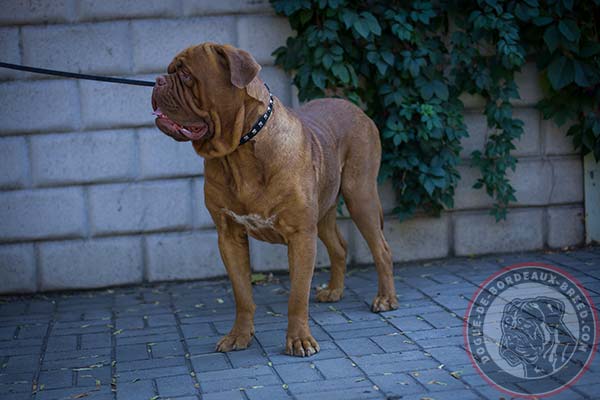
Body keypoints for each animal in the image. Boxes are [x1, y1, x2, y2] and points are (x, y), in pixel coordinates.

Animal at [151, 43, 398, 356]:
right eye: (170, 71)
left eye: (185, 75)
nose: (158, 80)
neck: (239, 152)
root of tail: (356, 109)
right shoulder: (229, 235)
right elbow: (242, 293)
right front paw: (239, 336)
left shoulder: (301, 234)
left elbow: (297, 295)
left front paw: (299, 340)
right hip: (325, 211)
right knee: (339, 247)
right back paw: (334, 290)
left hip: (360, 196)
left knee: (382, 249)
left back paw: (386, 299)